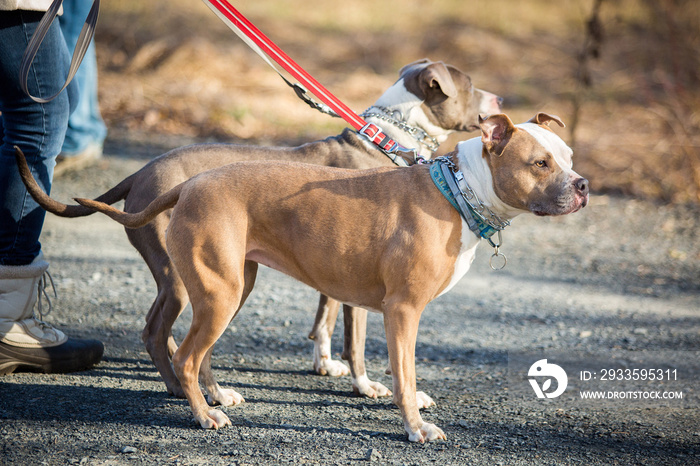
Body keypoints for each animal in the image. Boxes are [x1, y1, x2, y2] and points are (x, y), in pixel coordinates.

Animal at [17, 58, 504, 400]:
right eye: (469, 85)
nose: (500, 101)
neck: (388, 138)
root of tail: (140, 174)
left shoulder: (337, 268)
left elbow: (325, 318)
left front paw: (324, 363)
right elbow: (357, 339)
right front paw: (365, 385)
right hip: (182, 277)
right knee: (158, 331)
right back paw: (183, 388)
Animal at [67, 113, 592, 440]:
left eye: (569, 157)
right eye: (540, 163)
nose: (584, 184)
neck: (459, 189)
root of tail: (187, 185)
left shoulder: (385, 310)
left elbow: (389, 366)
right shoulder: (403, 310)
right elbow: (402, 370)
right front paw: (414, 428)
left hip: (231, 288)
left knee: (198, 351)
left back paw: (216, 399)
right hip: (218, 292)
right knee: (186, 356)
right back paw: (203, 415)